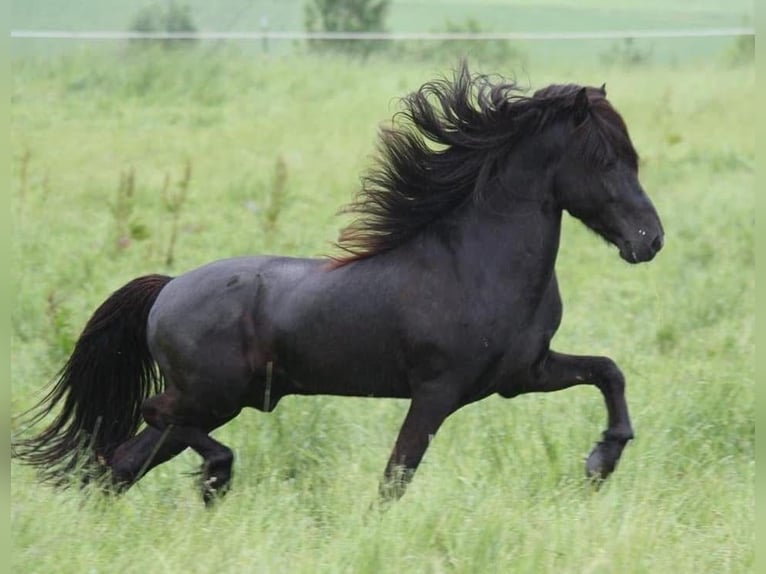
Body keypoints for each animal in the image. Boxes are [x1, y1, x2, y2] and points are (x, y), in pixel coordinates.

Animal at [12, 63, 664, 505]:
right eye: (606, 160)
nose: (649, 240)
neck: (475, 264)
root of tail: (167, 289)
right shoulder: (438, 392)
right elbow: (395, 478)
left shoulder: (522, 374)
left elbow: (608, 371)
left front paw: (601, 462)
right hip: (214, 395)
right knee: (152, 420)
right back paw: (218, 476)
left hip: (218, 400)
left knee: (120, 465)